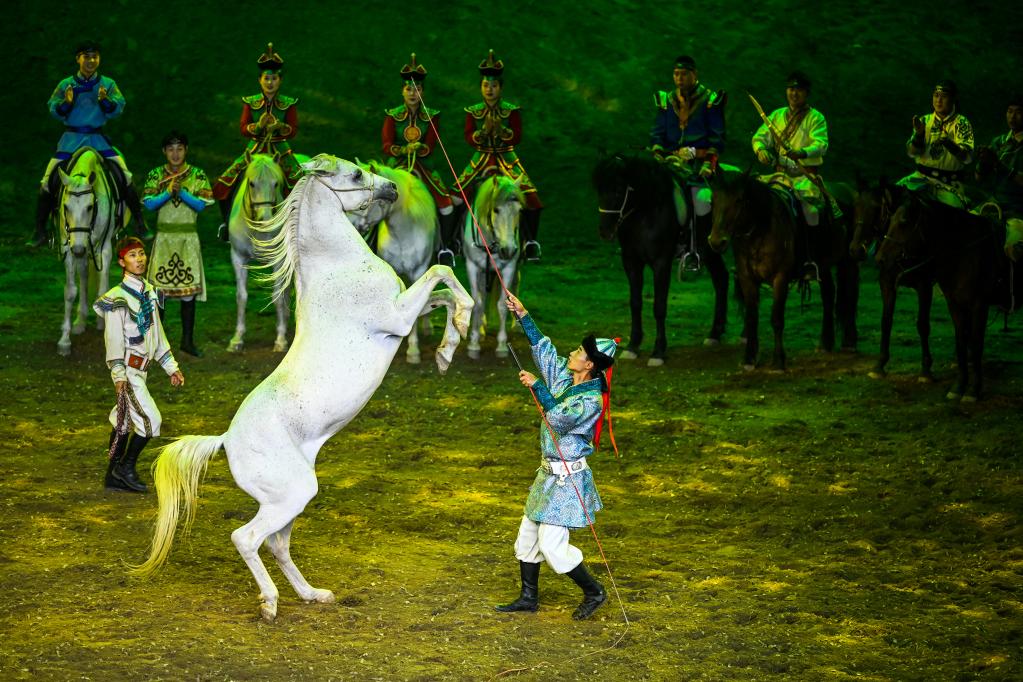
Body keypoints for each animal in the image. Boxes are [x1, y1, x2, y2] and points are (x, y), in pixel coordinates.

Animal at [593, 156, 728, 368]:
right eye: (599, 189)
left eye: (618, 190)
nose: (605, 231)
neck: (645, 215)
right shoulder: (631, 262)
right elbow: (635, 302)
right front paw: (633, 346)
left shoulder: (661, 263)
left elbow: (659, 306)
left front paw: (658, 351)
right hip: (710, 251)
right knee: (722, 279)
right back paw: (715, 333)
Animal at [703, 173, 855, 370]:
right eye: (713, 200)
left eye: (739, 200)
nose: (716, 241)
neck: (761, 230)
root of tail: (847, 189)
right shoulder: (747, 279)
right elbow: (751, 318)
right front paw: (749, 358)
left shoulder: (780, 278)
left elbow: (776, 319)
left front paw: (778, 361)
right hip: (823, 265)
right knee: (828, 293)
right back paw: (825, 343)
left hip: (849, 260)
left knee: (850, 294)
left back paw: (849, 342)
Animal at [871, 196, 1014, 400]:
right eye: (889, 220)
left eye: (904, 221)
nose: (880, 259)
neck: (966, 253)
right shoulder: (954, 304)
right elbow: (961, 342)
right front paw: (958, 387)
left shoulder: (978, 305)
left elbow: (975, 345)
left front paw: (973, 391)